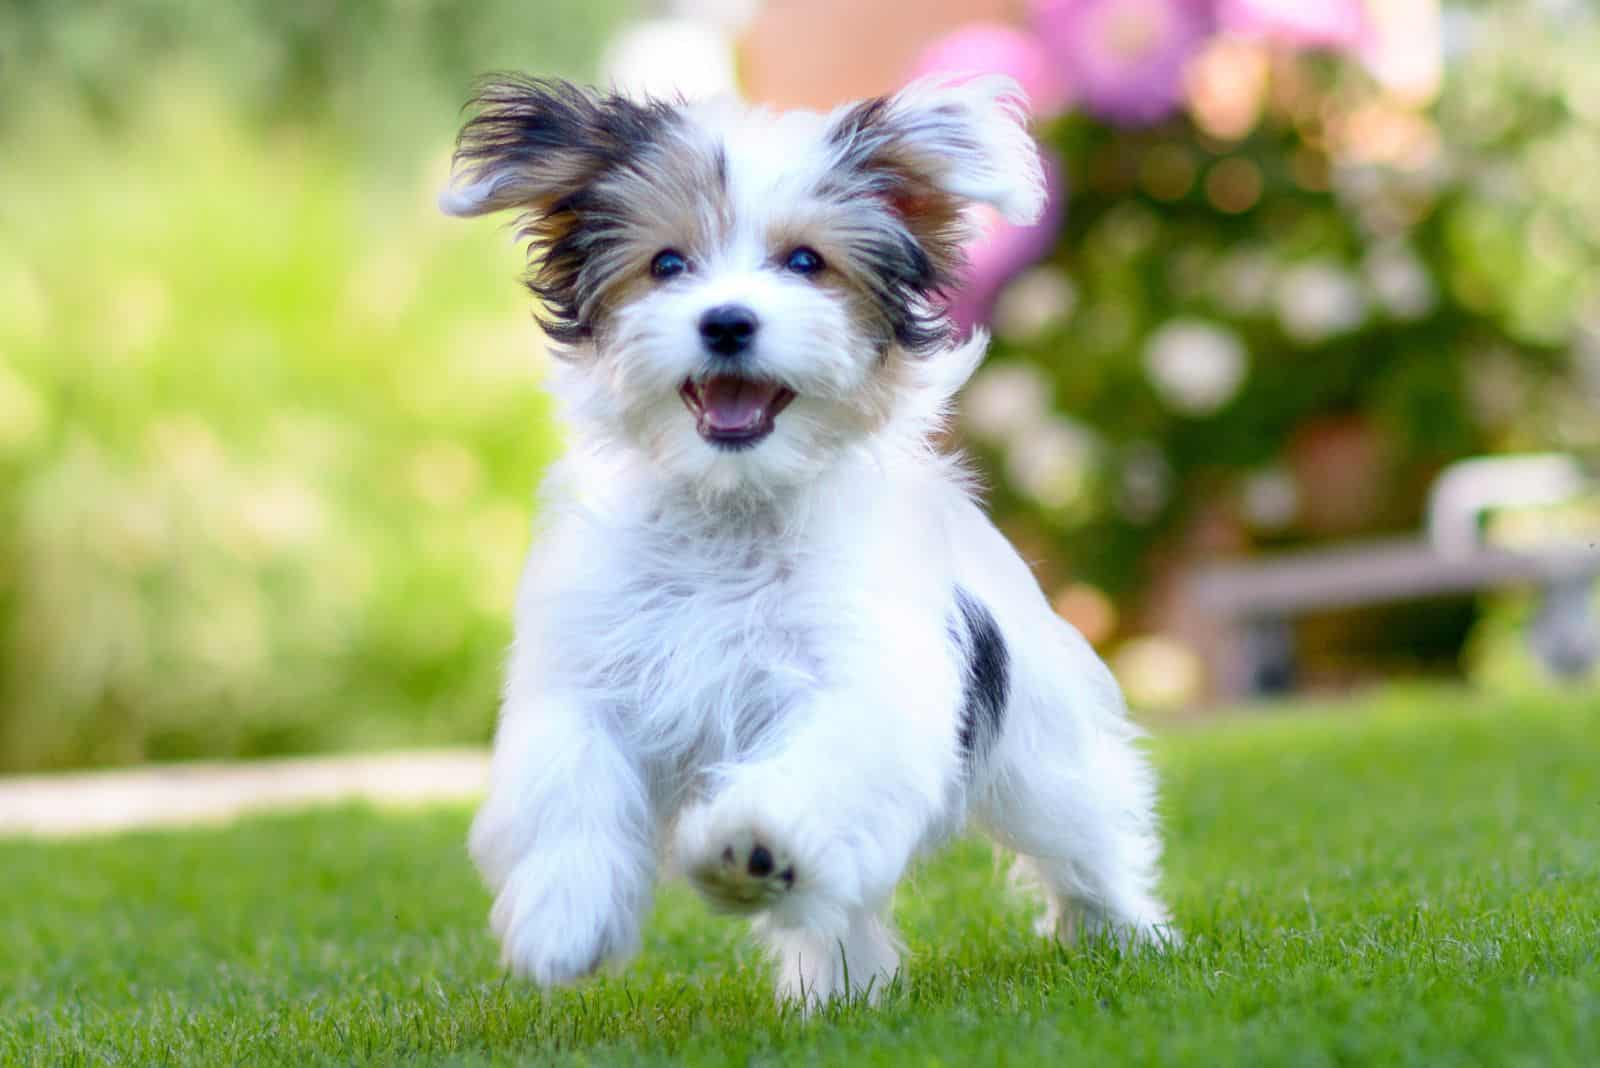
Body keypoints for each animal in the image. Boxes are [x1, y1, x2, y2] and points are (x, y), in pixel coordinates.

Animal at [444, 75, 1171, 1010]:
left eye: (805, 263)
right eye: (667, 264)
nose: (726, 323)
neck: (733, 505)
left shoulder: (864, 680)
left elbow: (828, 760)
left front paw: (755, 845)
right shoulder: (588, 671)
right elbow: (570, 781)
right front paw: (563, 916)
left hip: (1043, 751)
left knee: (1084, 834)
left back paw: (1126, 933)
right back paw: (840, 988)